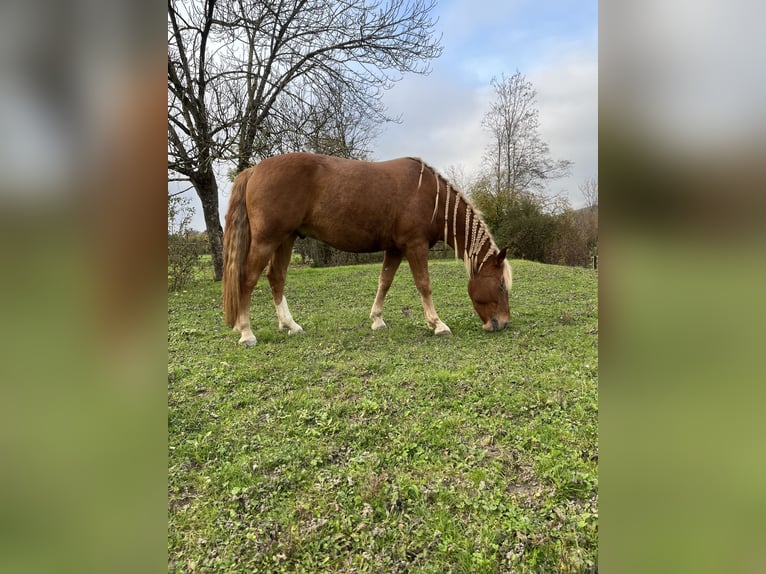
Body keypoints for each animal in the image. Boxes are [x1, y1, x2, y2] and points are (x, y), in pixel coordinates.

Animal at [222, 152, 512, 346]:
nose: (503, 323)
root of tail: (254, 170)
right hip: (267, 239)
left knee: (276, 277)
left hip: (286, 238)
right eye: (500, 285)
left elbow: (384, 282)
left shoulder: (395, 249)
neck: (431, 196)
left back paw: (290, 325)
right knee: (248, 279)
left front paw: (377, 320)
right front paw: (437, 324)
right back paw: (246, 332)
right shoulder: (415, 246)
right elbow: (424, 285)